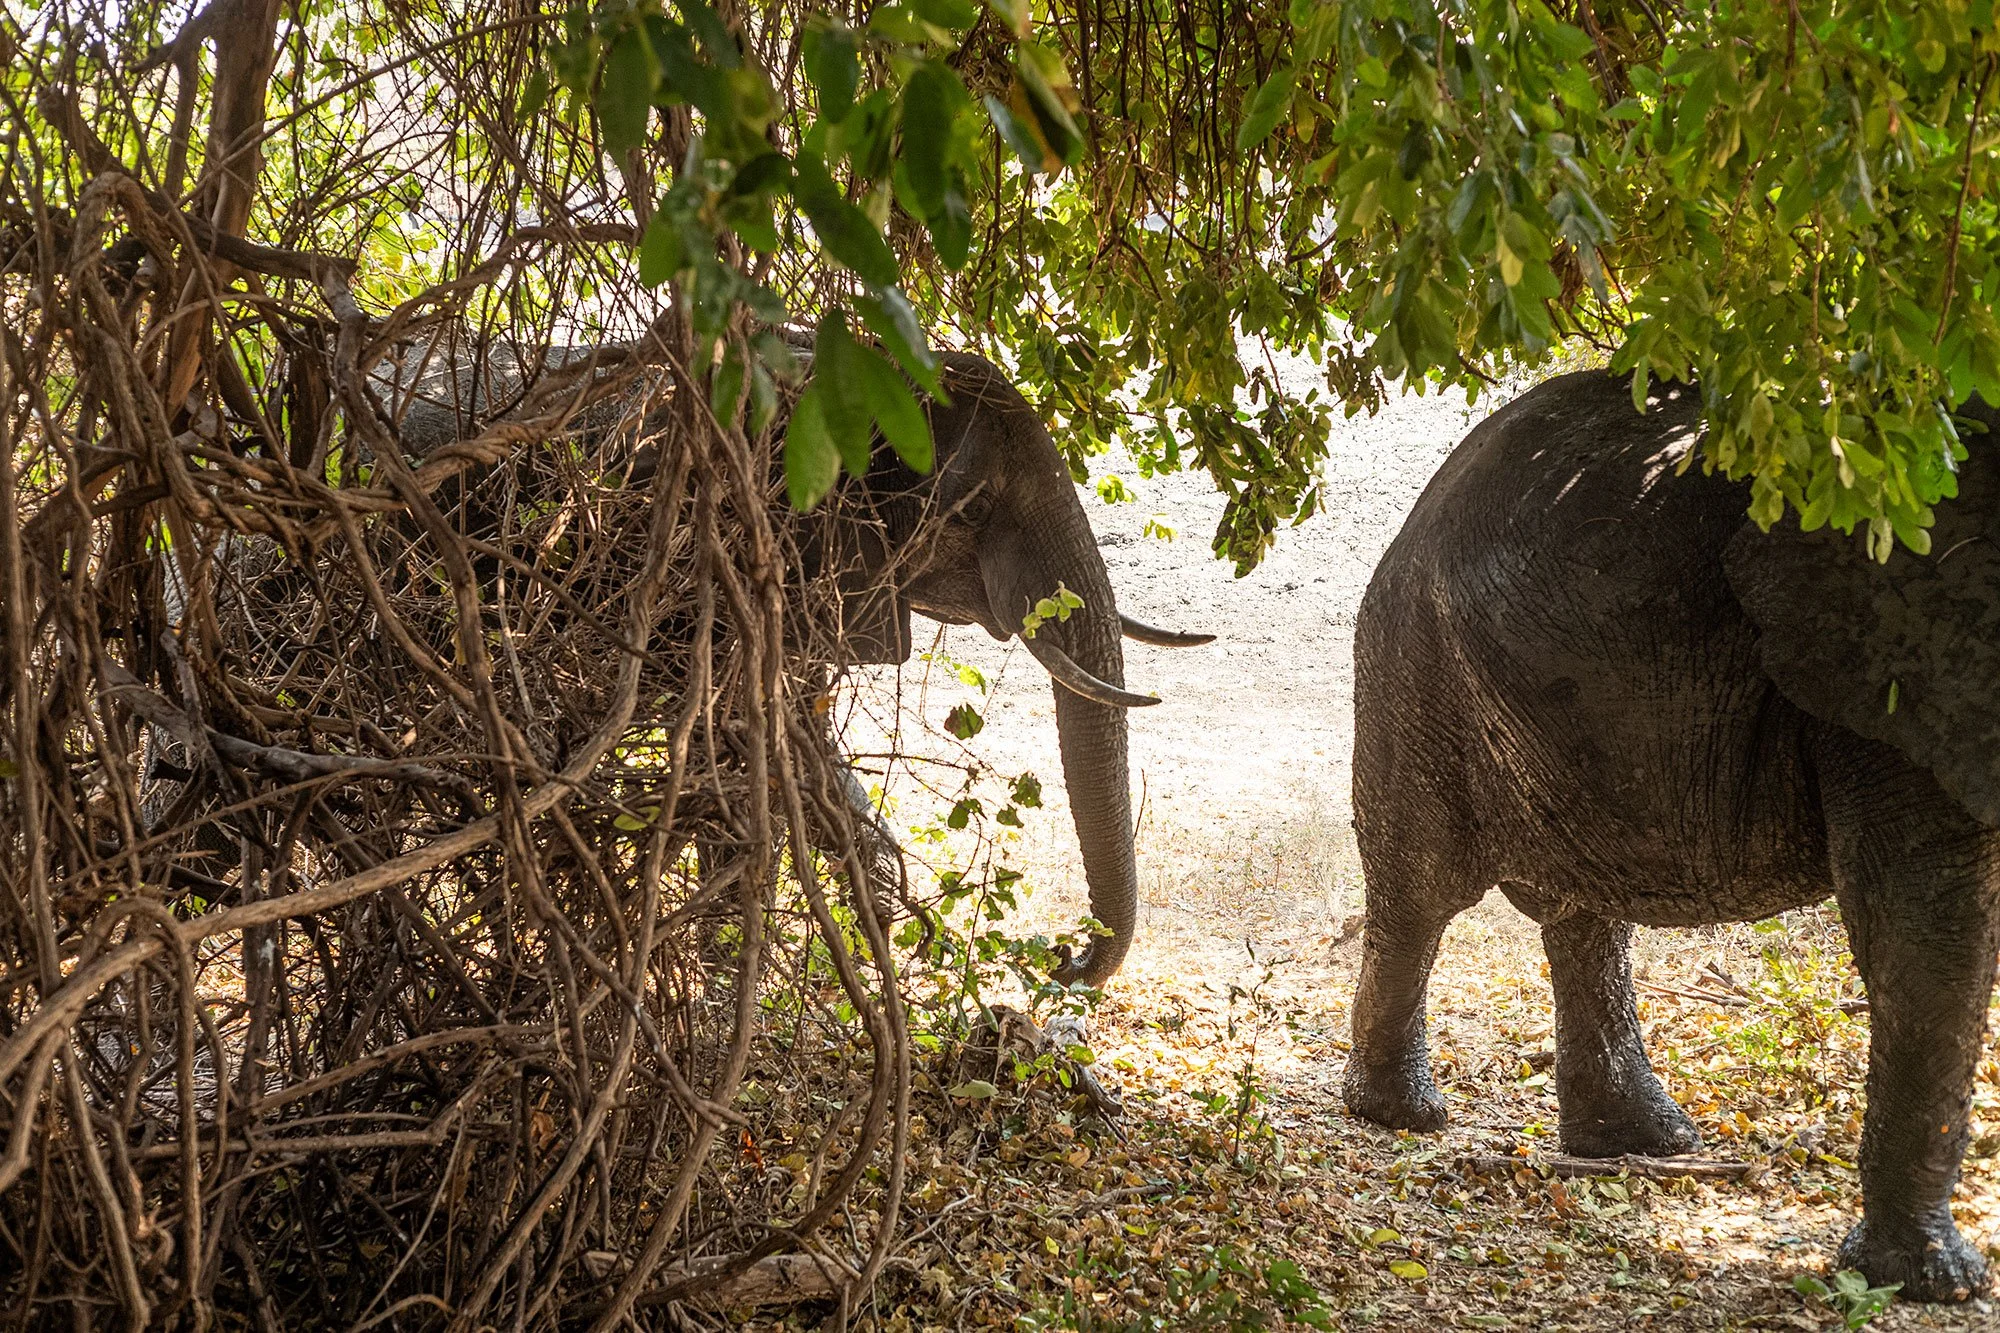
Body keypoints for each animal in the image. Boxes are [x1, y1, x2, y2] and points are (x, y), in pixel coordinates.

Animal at [1341, 368, 2000, 1300]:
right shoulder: (1884, 663)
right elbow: (1924, 925)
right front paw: (1934, 1284)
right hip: (1414, 665)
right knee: (1422, 890)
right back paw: (1405, 1117)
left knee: (1580, 910)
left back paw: (1646, 1142)